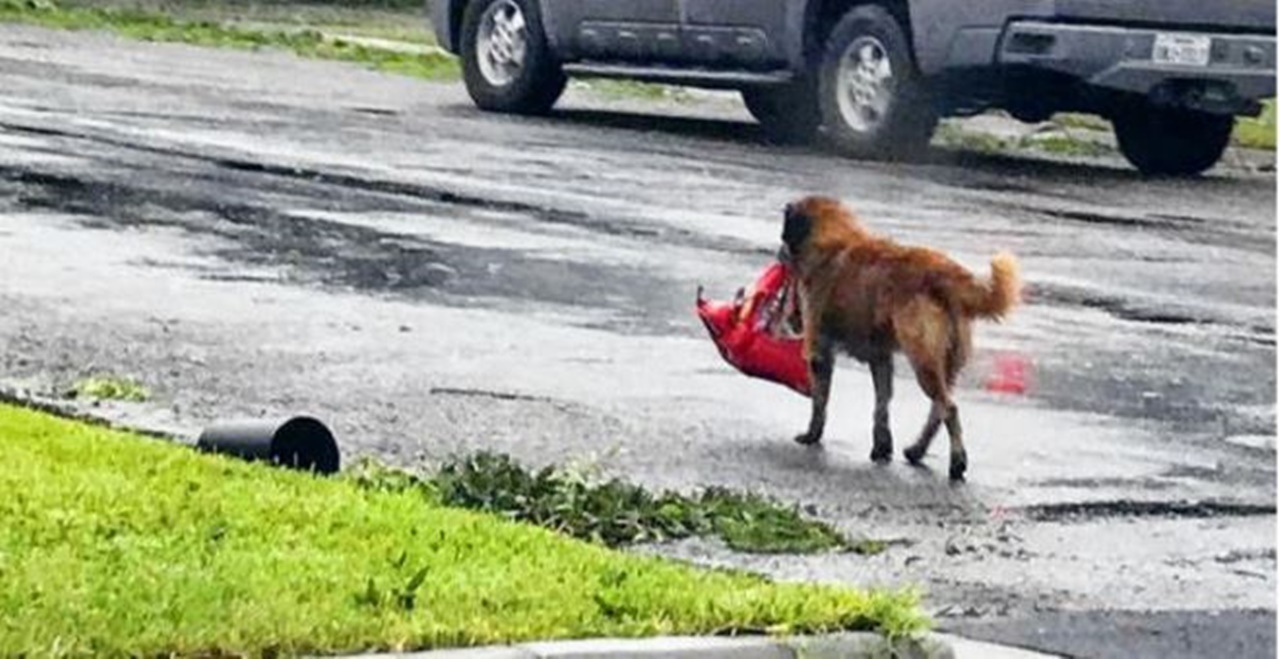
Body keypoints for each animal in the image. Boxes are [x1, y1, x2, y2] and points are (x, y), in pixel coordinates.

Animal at [773, 194, 1024, 478]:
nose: (779, 252)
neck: (834, 239)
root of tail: (943, 272)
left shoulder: (820, 351)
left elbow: (820, 401)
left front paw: (812, 436)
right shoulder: (881, 358)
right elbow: (882, 405)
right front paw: (882, 448)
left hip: (923, 360)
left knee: (949, 408)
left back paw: (957, 462)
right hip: (946, 363)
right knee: (938, 409)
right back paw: (917, 450)